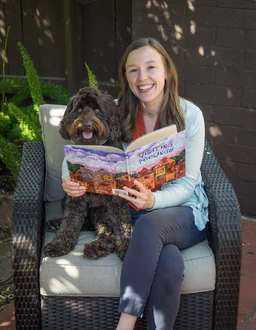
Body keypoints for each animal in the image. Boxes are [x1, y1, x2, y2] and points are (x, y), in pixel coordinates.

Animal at [44, 87, 132, 260]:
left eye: (97, 110)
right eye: (78, 110)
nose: (86, 124)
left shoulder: (116, 198)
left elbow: (122, 224)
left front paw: (128, 249)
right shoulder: (75, 194)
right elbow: (70, 222)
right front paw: (59, 244)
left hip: (101, 211)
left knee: (107, 233)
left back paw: (97, 247)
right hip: (67, 199)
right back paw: (56, 223)